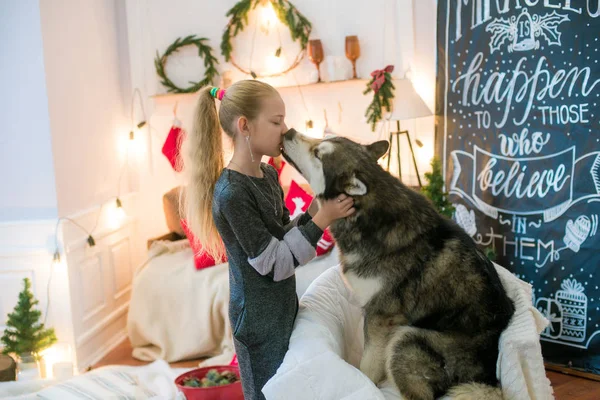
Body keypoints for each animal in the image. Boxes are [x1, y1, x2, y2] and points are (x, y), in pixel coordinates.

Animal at [282, 130, 516, 398]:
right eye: (321, 139)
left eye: (318, 154)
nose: (288, 131)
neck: (366, 218)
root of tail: (489, 380)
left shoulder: (380, 315)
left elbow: (367, 365)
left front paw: (365, 382)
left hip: (405, 339)